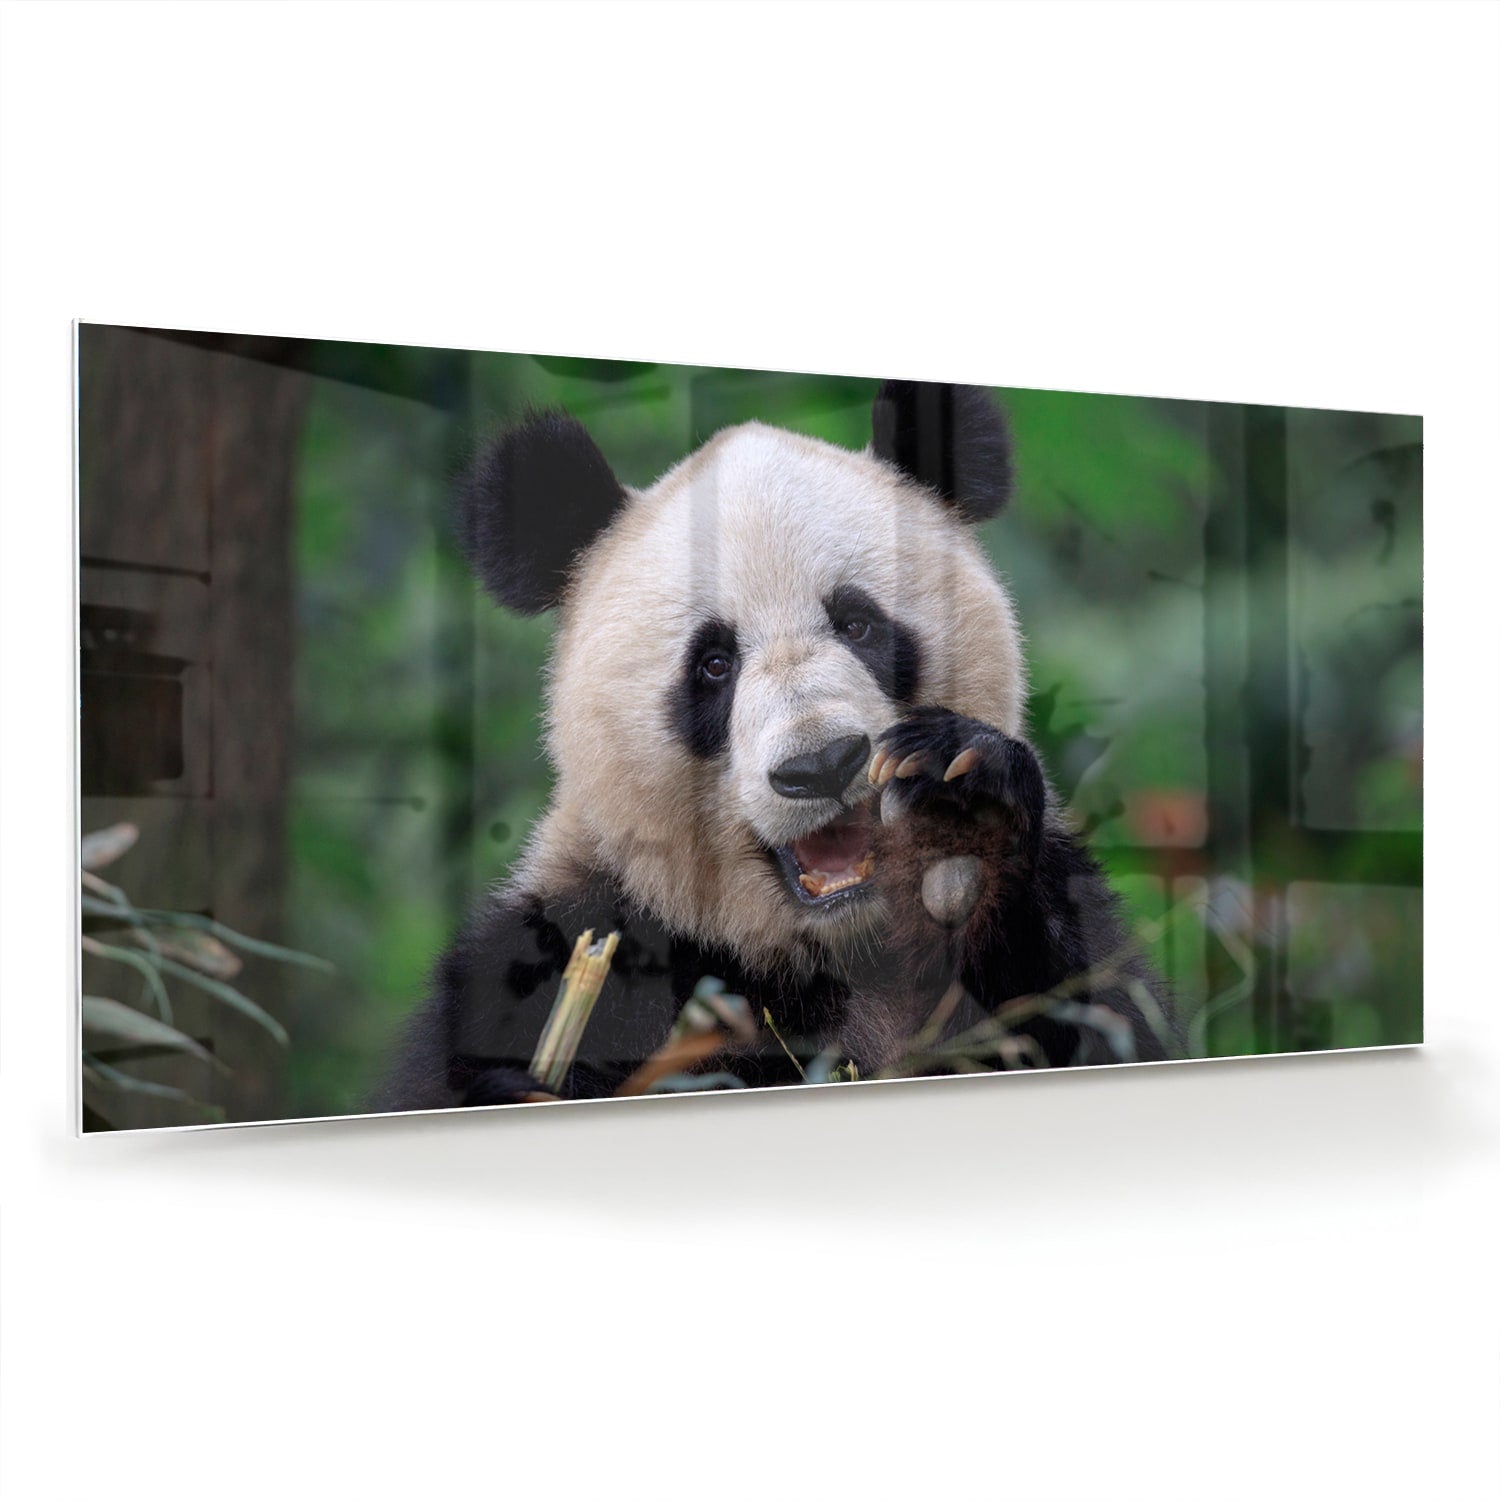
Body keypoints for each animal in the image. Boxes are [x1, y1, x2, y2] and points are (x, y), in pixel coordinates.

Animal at [374, 380, 1179, 1112]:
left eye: (857, 623)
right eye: (713, 664)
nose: (821, 765)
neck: (835, 951)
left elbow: (1095, 1013)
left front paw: (964, 822)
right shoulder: (565, 950)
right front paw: (515, 1088)